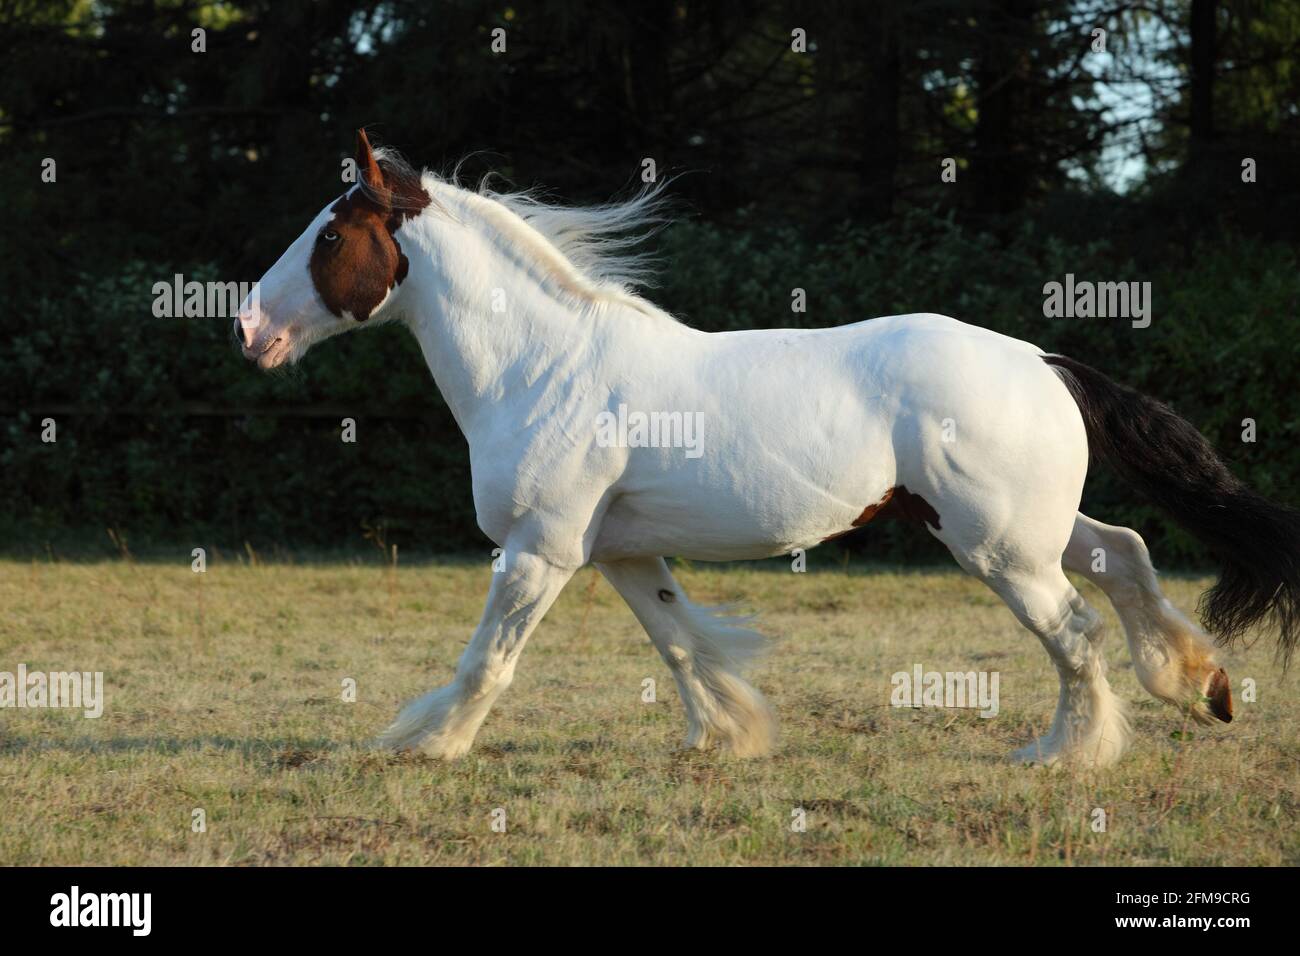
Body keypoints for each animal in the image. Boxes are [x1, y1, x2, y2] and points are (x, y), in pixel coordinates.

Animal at [236, 130, 1300, 764]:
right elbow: (678, 642)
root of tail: (1044, 360)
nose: (249, 330)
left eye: (331, 234)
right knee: (1127, 553)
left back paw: (1064, 755)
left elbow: (488, 660)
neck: (544, 368)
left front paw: (425, 745)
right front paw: (729, 736)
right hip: (1027, 528)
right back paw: (1201, 688)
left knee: (1076, 628)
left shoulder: (541, 549)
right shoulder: (619, 552)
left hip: (998, 547)